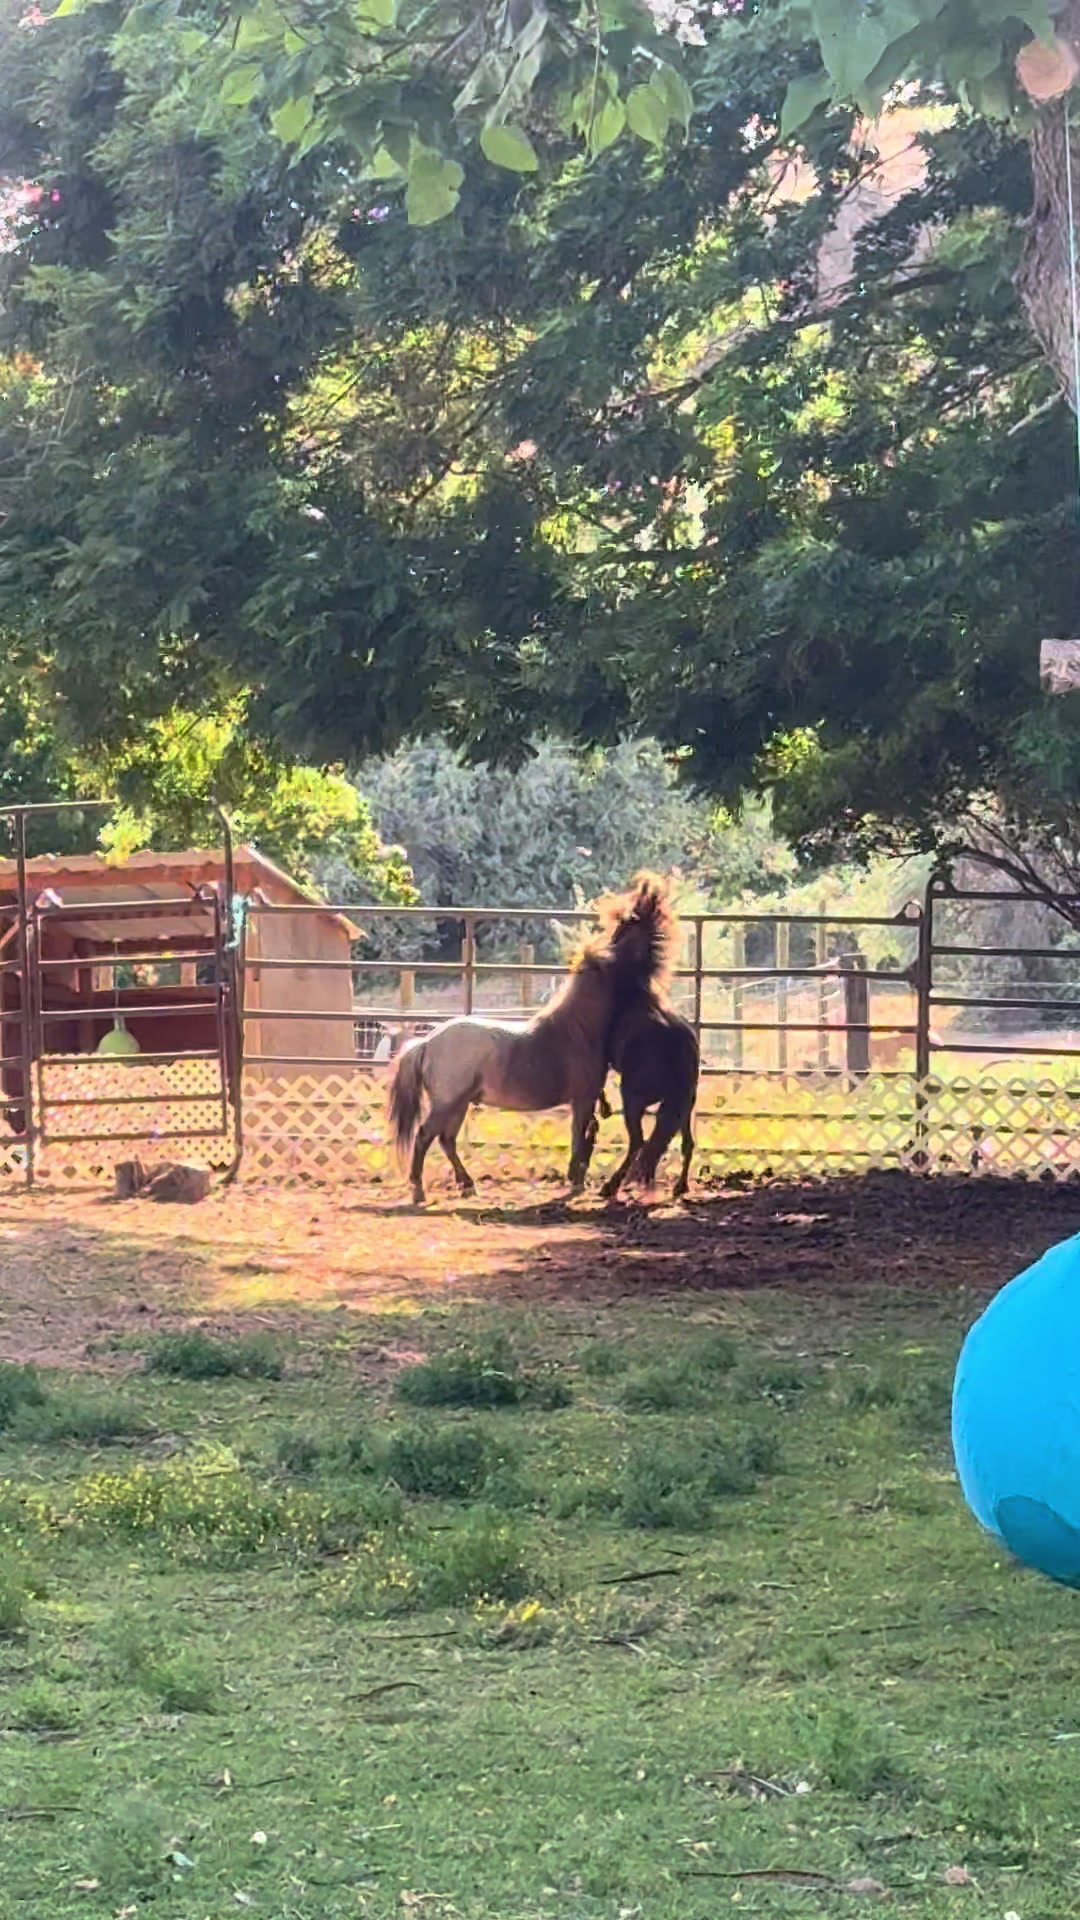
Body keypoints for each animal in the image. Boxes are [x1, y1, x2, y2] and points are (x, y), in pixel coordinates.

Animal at [386, 873, 678, 1205]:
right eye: (642, 923)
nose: (655, 899)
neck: (579, 1028)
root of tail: (426, 1043)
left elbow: (583, 1138)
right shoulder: (582, 1099)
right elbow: (579, 1139)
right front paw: (576, 1183)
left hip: (458, 1104)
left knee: (446, 1140)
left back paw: (468, 1184)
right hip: (447, 1103)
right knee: (425, 1136)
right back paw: (419, 1191)